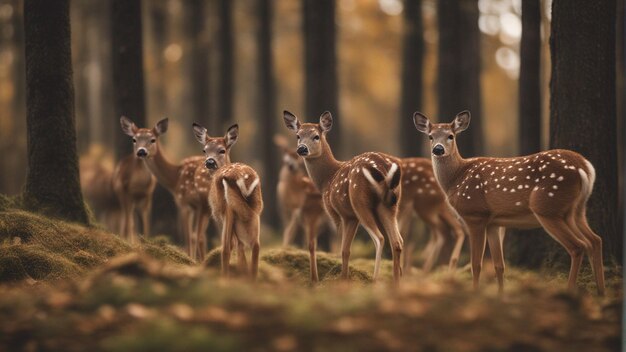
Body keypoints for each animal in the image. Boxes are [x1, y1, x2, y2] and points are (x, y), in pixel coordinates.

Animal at [119, 117, 212, 260]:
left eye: (153, 139)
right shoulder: (195, 207)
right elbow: (195, 236)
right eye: (134, 139)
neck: (174, 178)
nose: (141, 151)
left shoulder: (184, 202)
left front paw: (191, 260)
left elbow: (190, 236)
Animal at [189, 122, 260, 280]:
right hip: (254, 211)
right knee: (254, 245)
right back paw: (251, 280)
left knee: (226, 247)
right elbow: (241, 247)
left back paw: (225, 278)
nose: (209, 162)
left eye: (222, 150)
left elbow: (232, 246)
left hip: (228, 209)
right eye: (204, 150)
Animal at [280, 110, 402, 284]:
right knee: (397, 242)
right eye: (298, 135)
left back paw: (375, 280)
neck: (327, 179)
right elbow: (345, 250)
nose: (302, 149)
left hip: (360, 202)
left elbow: (342, 250)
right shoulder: (349, 216)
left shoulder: (341, 214)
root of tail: (384, 169)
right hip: (390, 205)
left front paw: (342, 280)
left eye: (316, 136)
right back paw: (397, 282)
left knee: (380, 239)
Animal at [412, 110, 604, 294]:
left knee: (578, 246)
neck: (457, 178)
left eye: (451, 136)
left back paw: (571, 290)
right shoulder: (494, 223)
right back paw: (601, 292)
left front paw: (475, 292)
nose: (438, 149)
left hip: (548, 207)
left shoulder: (476, 215)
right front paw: (500, 294)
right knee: (595, 240)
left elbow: (476, 264)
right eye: (430, 136)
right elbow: (499, 265)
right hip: (575, 210)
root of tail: (585, 167)